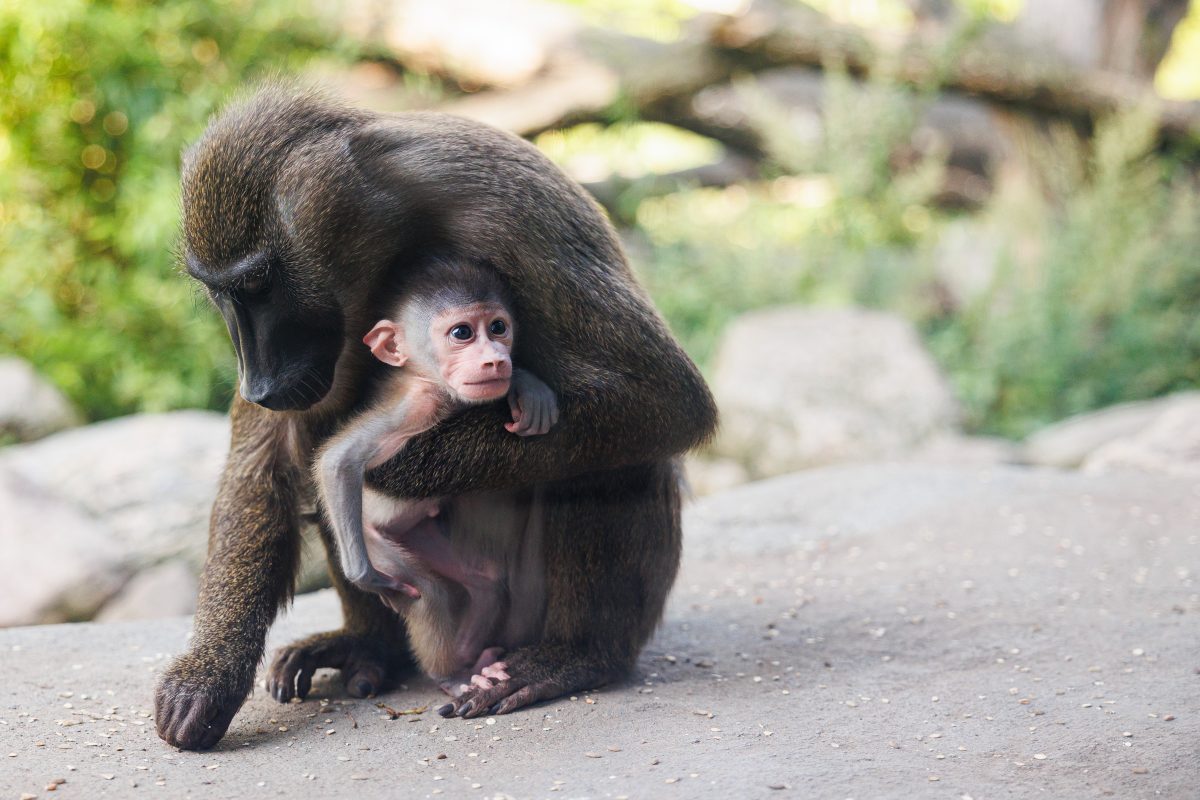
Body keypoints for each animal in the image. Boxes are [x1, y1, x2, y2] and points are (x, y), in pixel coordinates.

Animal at [319, 260, 561, 686]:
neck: (437, 388)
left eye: (498, 327)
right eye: (462, 333)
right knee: (429, 591)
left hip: (419, 533)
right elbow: (337, 461)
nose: (495, 358)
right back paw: (447, 676)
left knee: (486, 581)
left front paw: (528, 387)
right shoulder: (416, 406)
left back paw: (470, 663)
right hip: (376, 540)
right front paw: (364, 577)